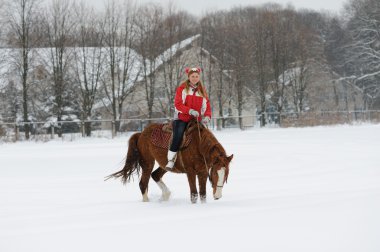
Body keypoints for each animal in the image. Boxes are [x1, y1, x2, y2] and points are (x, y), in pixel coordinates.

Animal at [105, 119, 233, 204]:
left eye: (226, 175)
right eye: (215, 173)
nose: (218, 196)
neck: (198, 145)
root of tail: (141, 134)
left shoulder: (203, 172)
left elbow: (202, 195)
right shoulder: (190, 172)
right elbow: (194, 194)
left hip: (164, 165)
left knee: (155, 175)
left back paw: (166, 195)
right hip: (147, 163)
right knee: (143, 183)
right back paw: (147, 202)